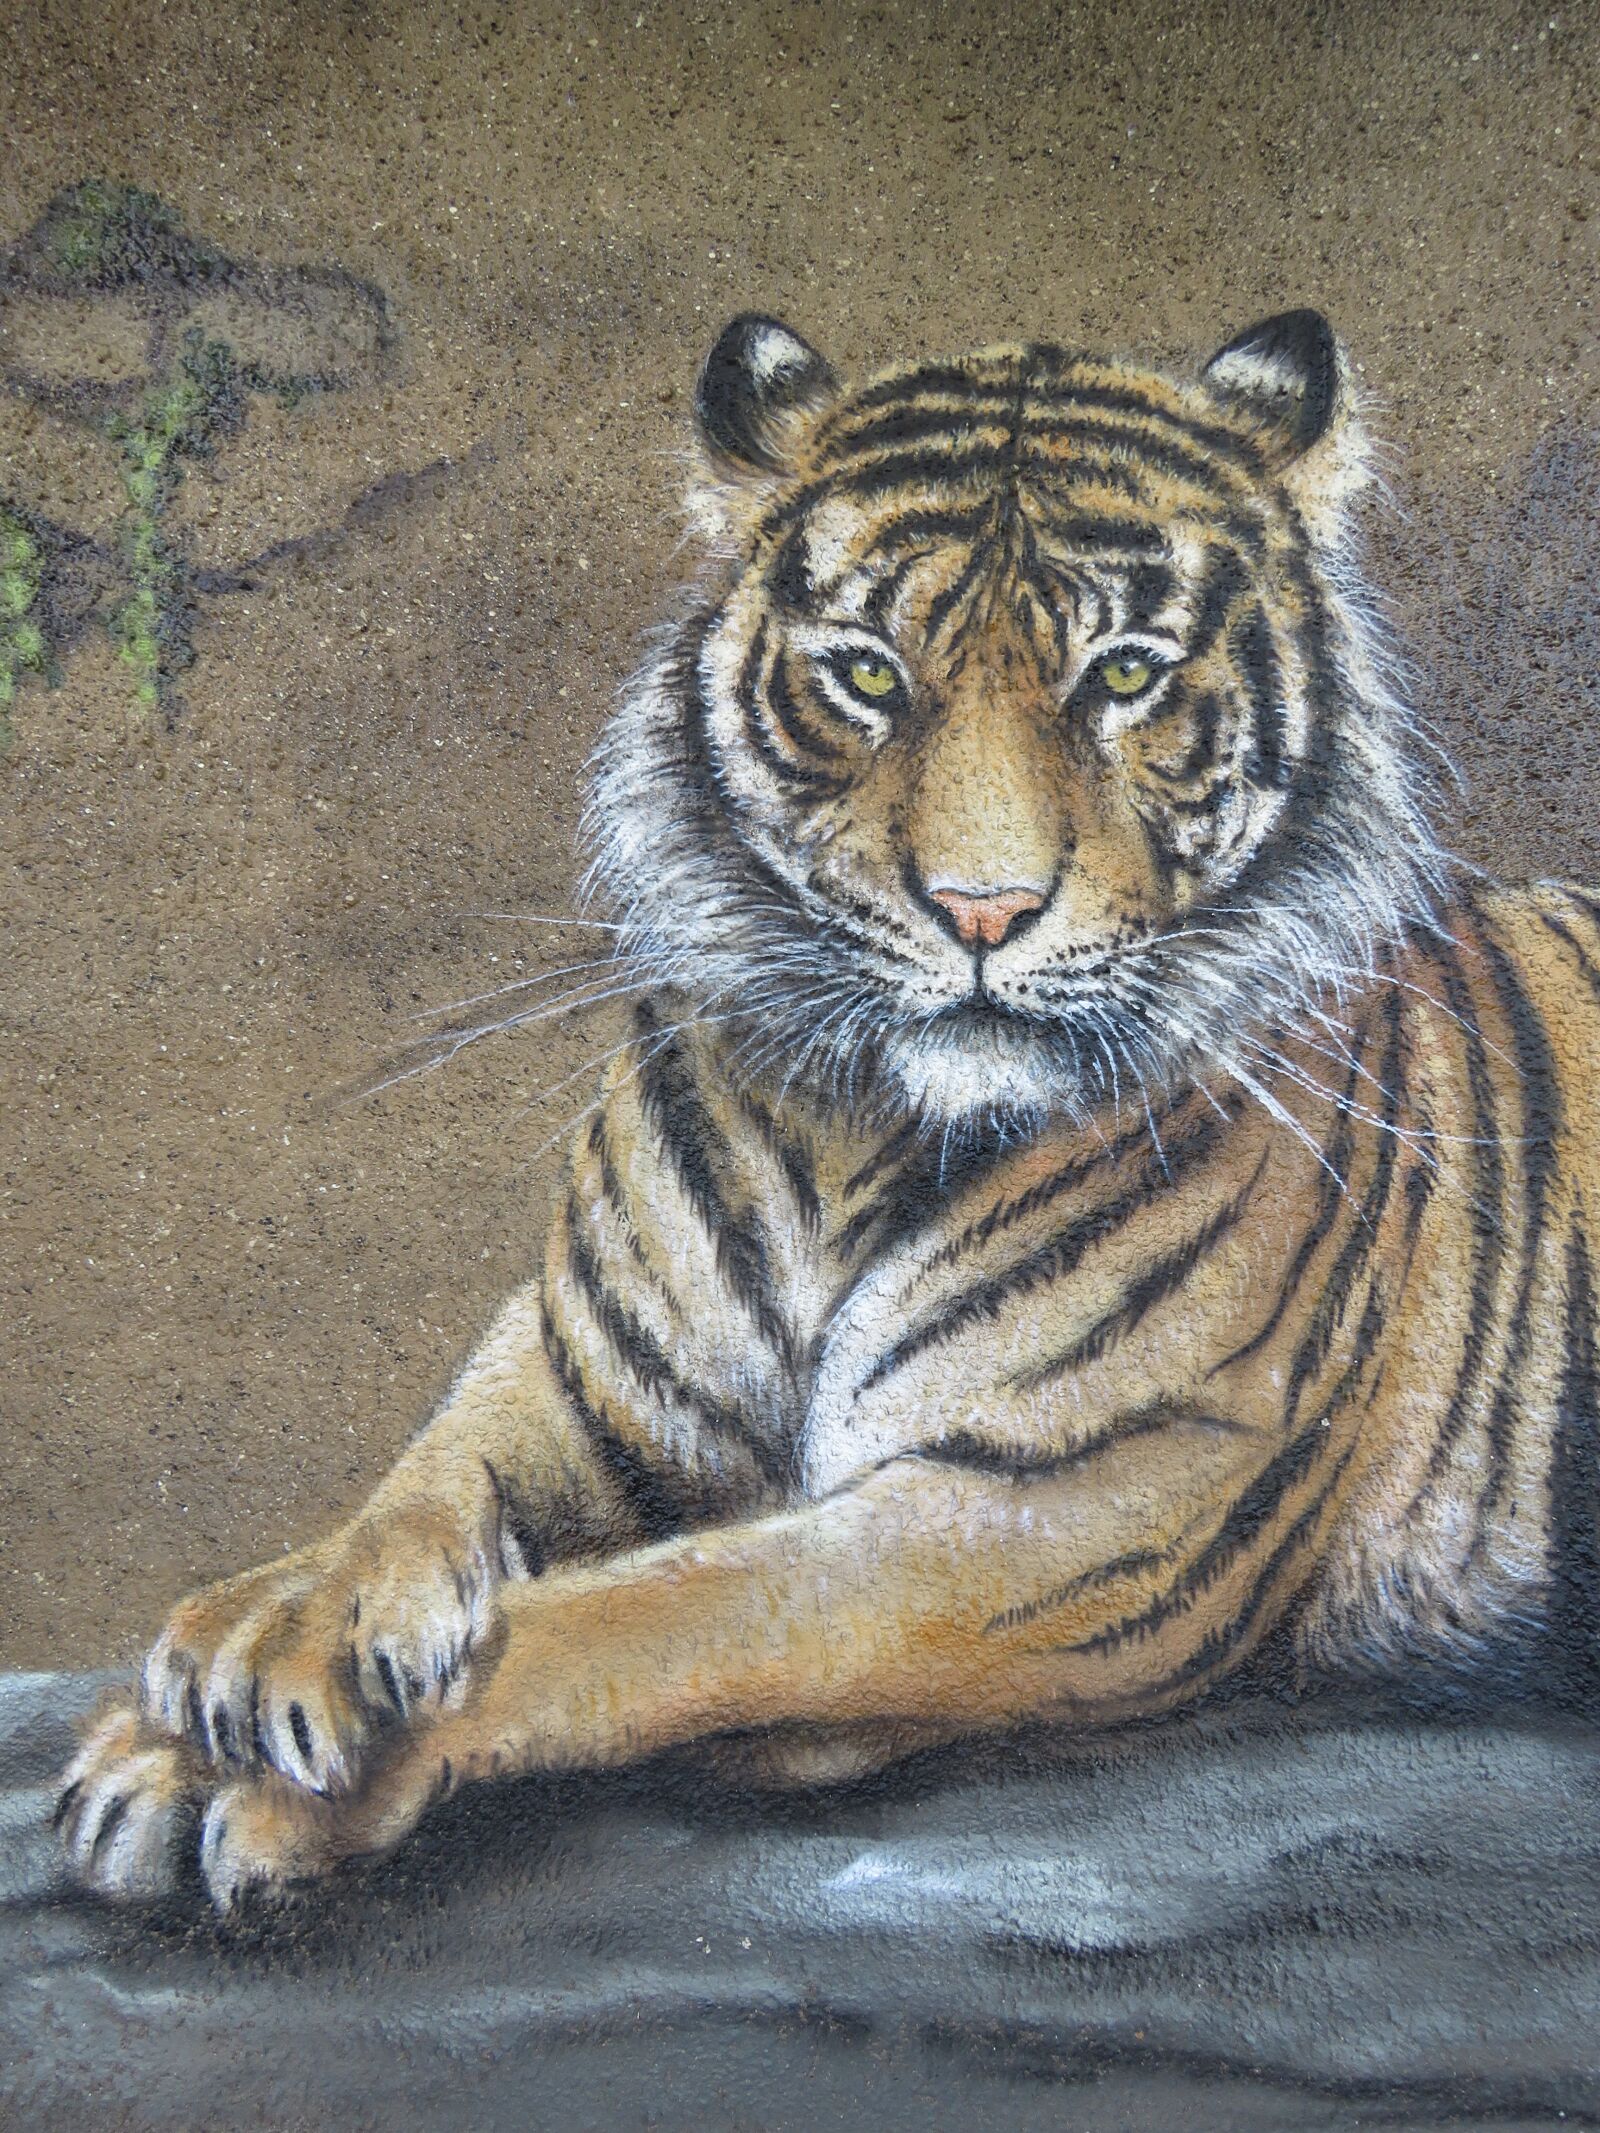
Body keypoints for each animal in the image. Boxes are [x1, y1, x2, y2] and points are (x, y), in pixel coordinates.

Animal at [58, 307, 1600, 1909]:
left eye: (1123, 675)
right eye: (866, 672)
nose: (983, 911)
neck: (857, 1140)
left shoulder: (1082, 1499)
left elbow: (662, 1606)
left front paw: (254, 1781)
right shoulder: (585, 1368)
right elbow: (426, 1483)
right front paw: (264, 1645)